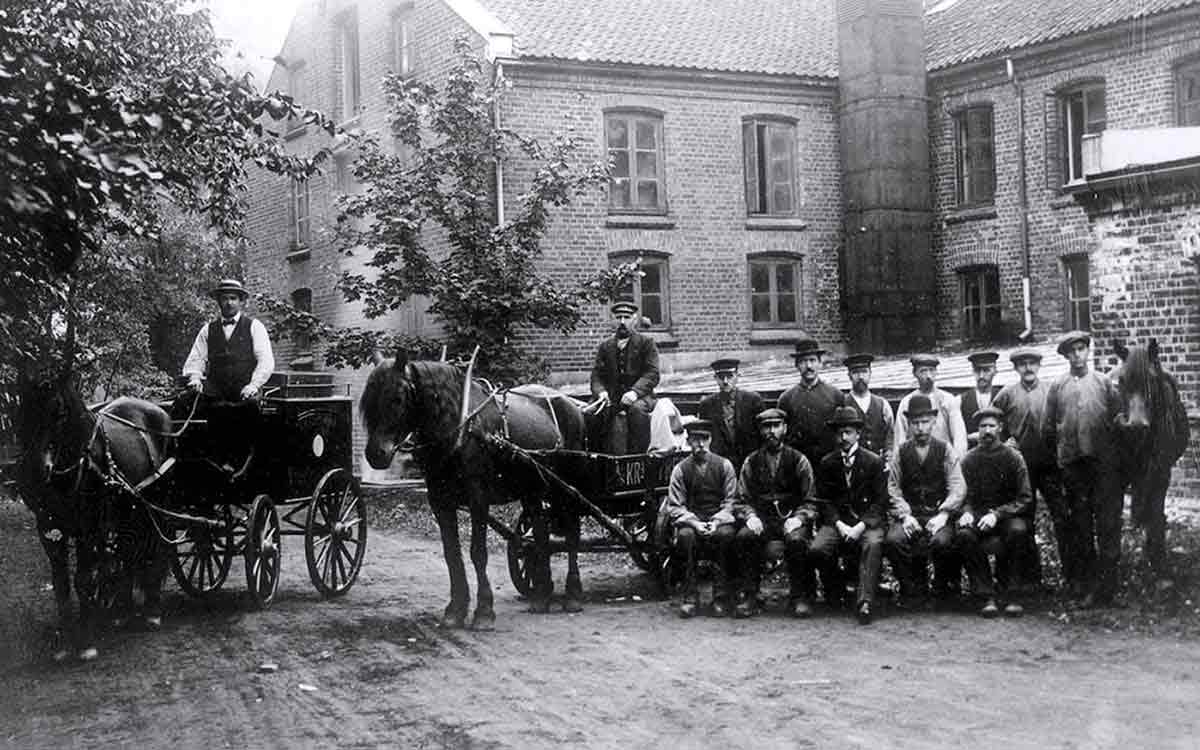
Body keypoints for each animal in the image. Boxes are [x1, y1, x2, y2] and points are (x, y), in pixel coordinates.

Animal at [15, 376, 172, 657]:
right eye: (23, 404)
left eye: (60, 411)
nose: (33, 472)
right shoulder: (47, 528)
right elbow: (61, 585)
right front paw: (65, 642)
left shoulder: (89, 528)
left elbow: (84, 580)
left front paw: (85, 642)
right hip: (127, 509)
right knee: (128, 552)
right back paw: (122, 611)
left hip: (155, 505)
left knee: (157, 550)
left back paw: (152, 610)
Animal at [360, 352, 590, 628]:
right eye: (368, 399)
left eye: (397, 397)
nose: (376, 454)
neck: (461, 431)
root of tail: (572, 405)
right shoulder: (440, 501)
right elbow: (451, 554)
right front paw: (455, 609)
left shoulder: (478, 498)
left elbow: (478, 553)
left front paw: (483, 611)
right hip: (533, 490)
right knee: (541, 535)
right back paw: (542, 596)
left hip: (565, 490)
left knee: (572, 534)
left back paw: (573, 594)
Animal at [1108, 338, 1185, 578]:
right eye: (1121, 381)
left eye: (1152, 379)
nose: (1135, 426)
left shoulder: (1161, 474)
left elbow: (1155, 516)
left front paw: (1157, 559)